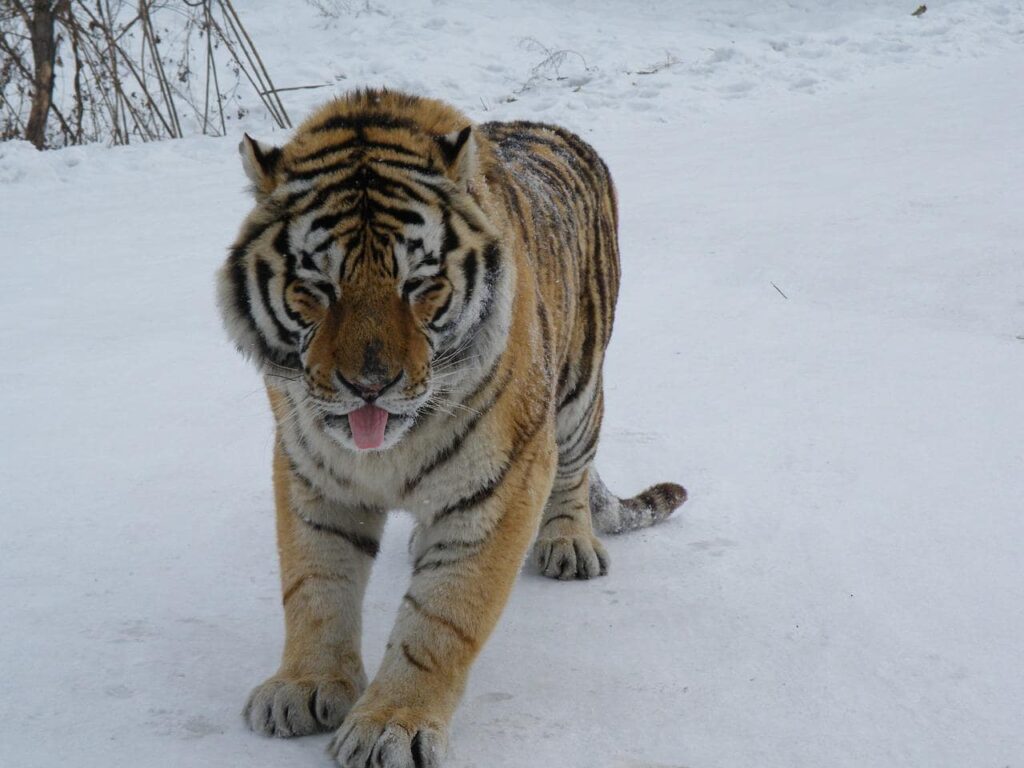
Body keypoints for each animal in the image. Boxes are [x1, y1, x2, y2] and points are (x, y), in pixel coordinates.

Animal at [216, 87, 684, 765]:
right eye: (318, 288)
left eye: (419, 286)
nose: (369, 385)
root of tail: (552, 129)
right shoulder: (309, 470)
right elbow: (314, 584)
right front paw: (305, 685)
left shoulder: (502, 480)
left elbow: (441, 617)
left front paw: (391, 725)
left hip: (578, 389)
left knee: (575, 470)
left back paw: (568, 543)